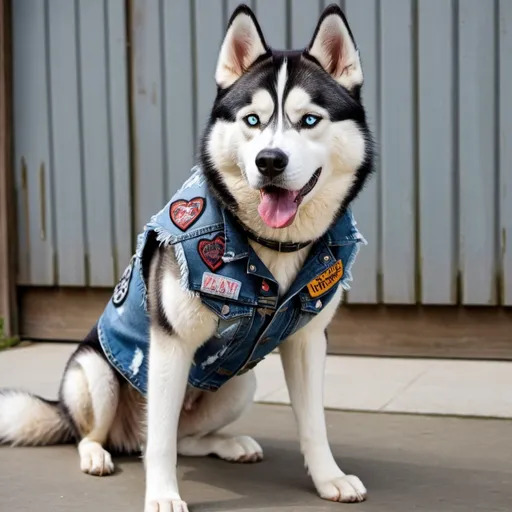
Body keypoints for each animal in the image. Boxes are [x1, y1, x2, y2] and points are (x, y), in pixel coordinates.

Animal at [1, 3, 376, 508]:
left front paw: (328, 478)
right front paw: (162, 495)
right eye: (252, 121)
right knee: (116, 435)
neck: (268, 246)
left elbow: (314, 424)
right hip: (94, 374)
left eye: (310, 120)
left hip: (240, 383)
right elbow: (159, 442)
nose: (270, 161)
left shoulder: (307, 340)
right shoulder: (171, 344)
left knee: (176, 438)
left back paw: (228, 445)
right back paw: (96, 454)